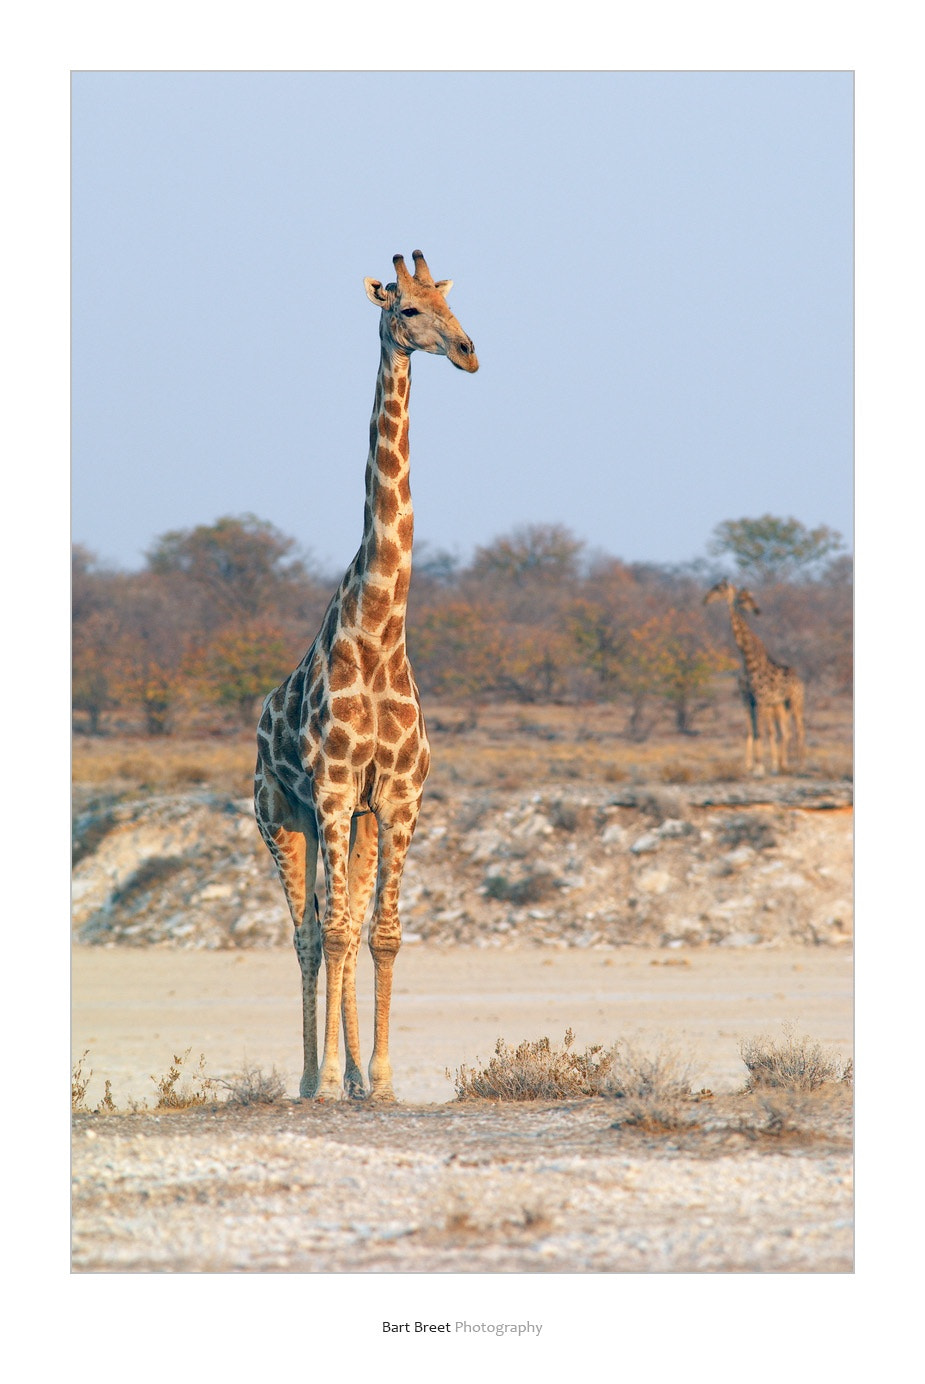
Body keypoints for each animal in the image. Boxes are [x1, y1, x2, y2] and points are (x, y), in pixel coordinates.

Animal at [254, 250, 478, 1102]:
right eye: (404, 309)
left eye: (448, 303)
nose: (468, 352)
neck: (381, 630)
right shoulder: (331, 789)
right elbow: (338, 928)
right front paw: (332, 1076)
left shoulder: (397, 796)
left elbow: (382, 932)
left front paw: (378, 1078)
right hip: (281, 813)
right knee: (308, 931)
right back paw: (311, 1076)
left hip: (346, 821)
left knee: (337, 925)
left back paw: (345, 1072)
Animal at [703, 578, 805, 774]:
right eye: (742, 598)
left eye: (719, 589)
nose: (705, 600)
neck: (750, 661)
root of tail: (799, 680)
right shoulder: (748, 700)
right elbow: (753, 731)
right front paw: (752, 765)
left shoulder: (761, 700)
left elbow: (764, 732)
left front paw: (762, 766)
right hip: (782, 704)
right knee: (785, 731)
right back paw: (784, 763)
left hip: (795, 701)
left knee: (798, 729)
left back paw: (798, 763)